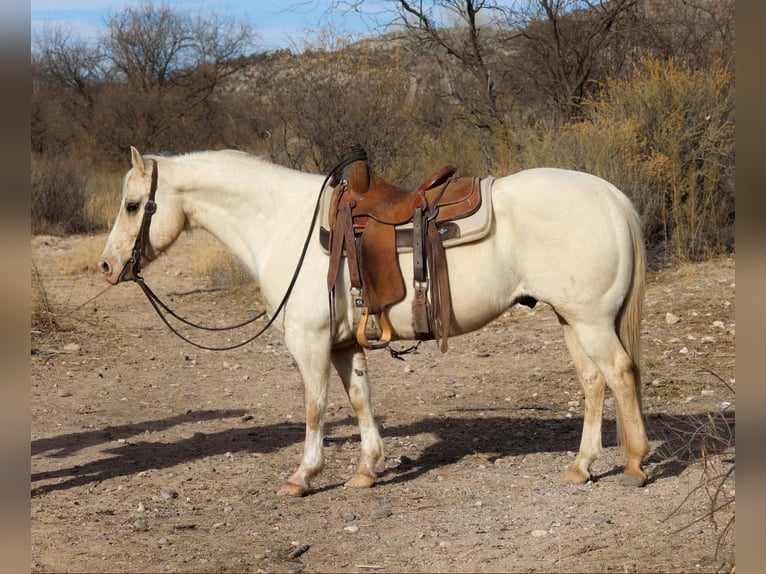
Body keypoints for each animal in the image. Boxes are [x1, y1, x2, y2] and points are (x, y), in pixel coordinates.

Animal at [99, 146, 650, 496]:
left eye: (132, 205)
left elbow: (315, 408)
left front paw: (303, 476)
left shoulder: (309, 342)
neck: (284, 224)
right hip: (570, 318)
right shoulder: (344, 345)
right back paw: (581, 467)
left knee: (620, 373)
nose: (107, 266)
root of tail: (610, 196)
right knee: (593, 382)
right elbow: (360, 400)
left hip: (590, 321)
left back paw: (635, 462)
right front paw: (366, 470)